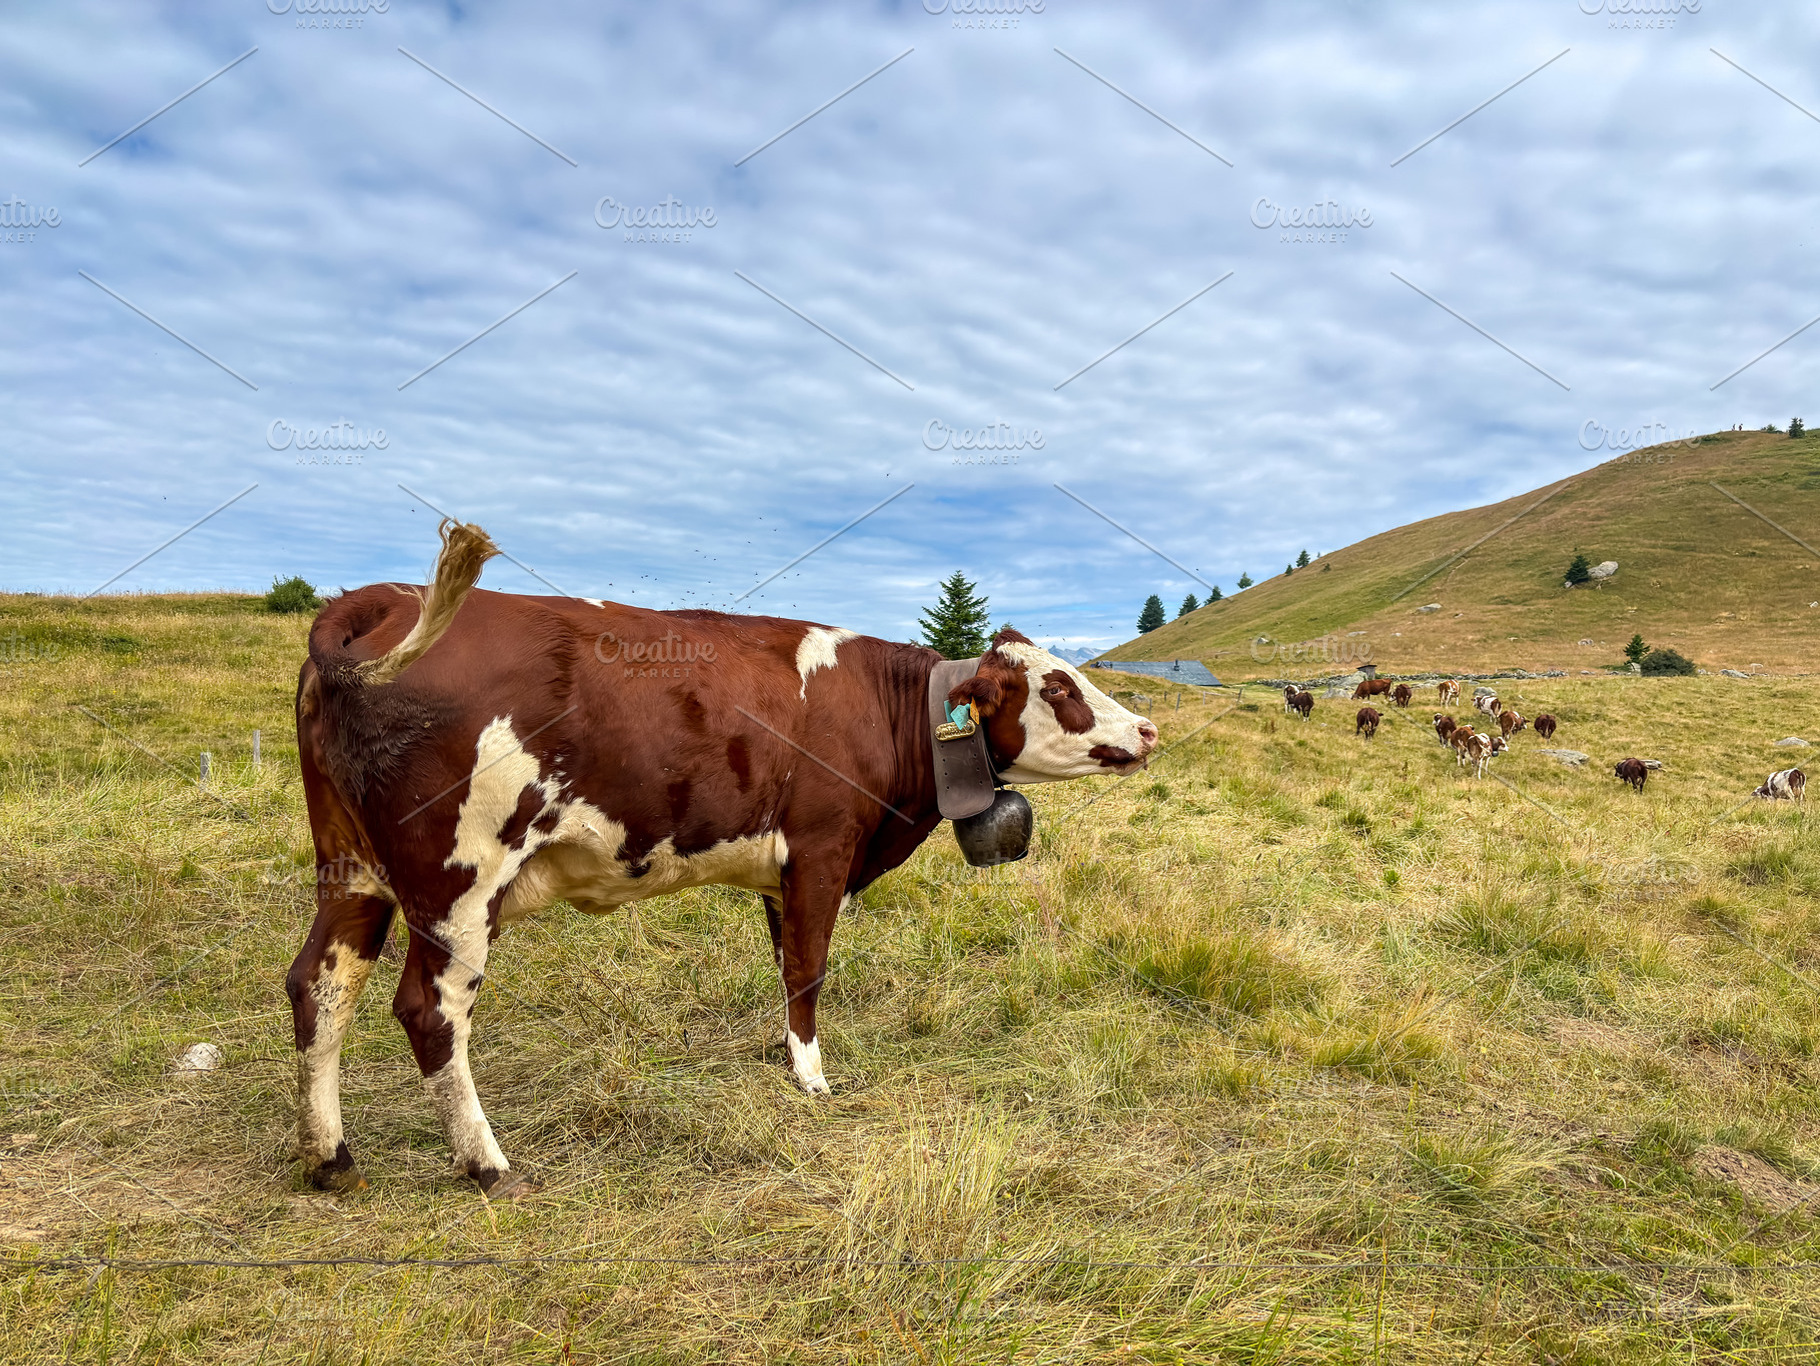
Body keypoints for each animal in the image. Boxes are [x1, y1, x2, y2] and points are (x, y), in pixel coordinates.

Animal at [285, 522, 1158, 1195]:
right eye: (1059, 687)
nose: (1148, 729)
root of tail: (380, 598)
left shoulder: (782, 873)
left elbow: (785, 965)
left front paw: (787, 1054)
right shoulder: (822, 850)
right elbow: (808, 966)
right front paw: (812, 1078)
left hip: (352, 868)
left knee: (319, 986)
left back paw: (331, 1159)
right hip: (458, 880)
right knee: (430, 1011)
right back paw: (488, 1165)